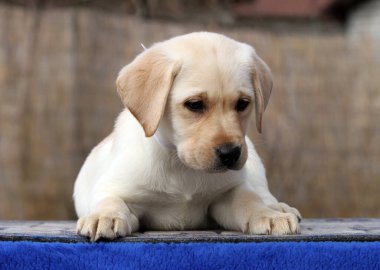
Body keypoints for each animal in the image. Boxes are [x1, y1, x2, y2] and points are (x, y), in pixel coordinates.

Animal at [73, 31, 300, 240]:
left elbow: (248, 199)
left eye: (243, 103)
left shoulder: (228, 191)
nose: (230, 153)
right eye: (195, 104)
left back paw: (278, 208)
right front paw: (103, 216)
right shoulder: (113, 187)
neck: (181, 165)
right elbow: (110, 200)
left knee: (260, 192)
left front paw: (268, 215)